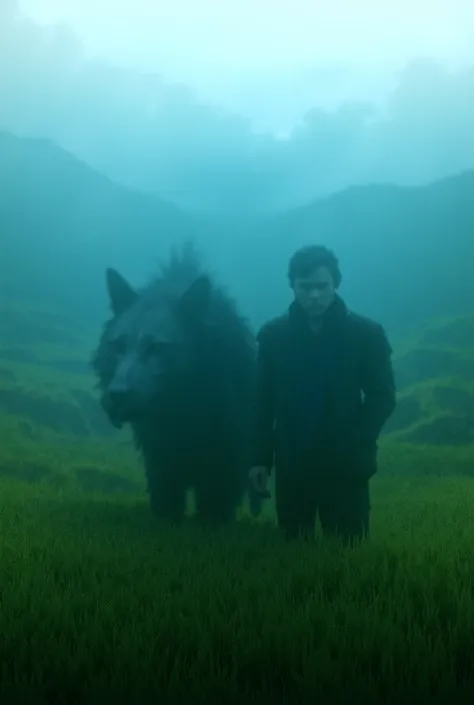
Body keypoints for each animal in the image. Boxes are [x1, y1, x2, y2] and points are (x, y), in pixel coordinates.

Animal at [91, 243, 262, 524]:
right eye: (118, 347)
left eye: (157, 348)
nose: (116, 395)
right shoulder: (158, 452)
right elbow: (165, 492)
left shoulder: (230, 448)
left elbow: (218, 498)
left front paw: (213, 522)